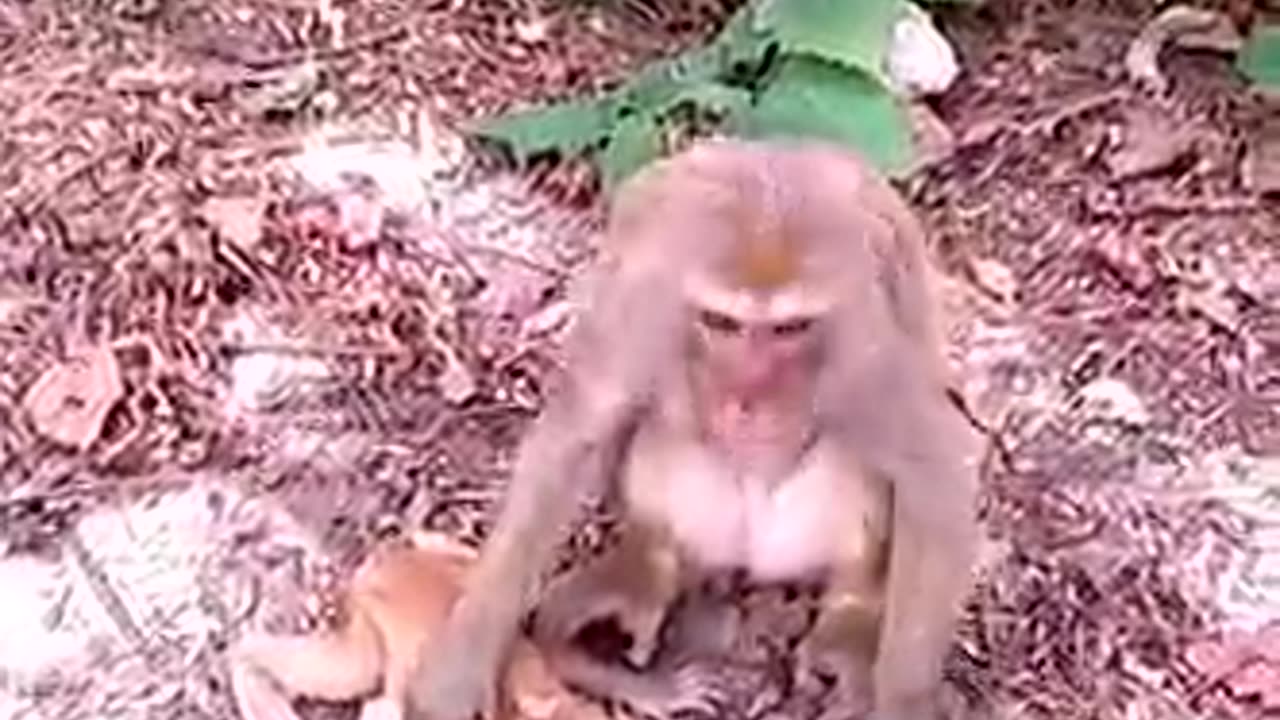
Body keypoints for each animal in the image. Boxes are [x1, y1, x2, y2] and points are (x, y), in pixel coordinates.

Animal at [405, 138, 982, 720]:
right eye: (722, 324)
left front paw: (904, 696)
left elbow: (932, 472)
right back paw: (640, 594)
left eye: (789, 330)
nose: (750, 398)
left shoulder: (862, 350)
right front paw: (460, 667)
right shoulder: (645, 313)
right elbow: (577, 433)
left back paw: (848, 614)